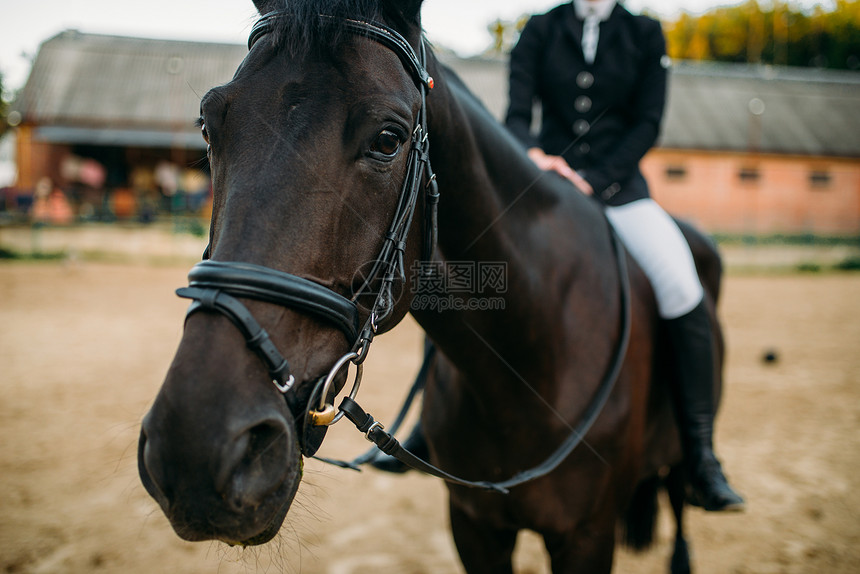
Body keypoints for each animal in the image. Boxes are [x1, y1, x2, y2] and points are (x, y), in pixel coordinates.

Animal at [139, 2, 724, 572]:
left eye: (388, 140)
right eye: (209, 125)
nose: (192, 454)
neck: (530, 362)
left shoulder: (587, 536)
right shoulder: (475, 525)